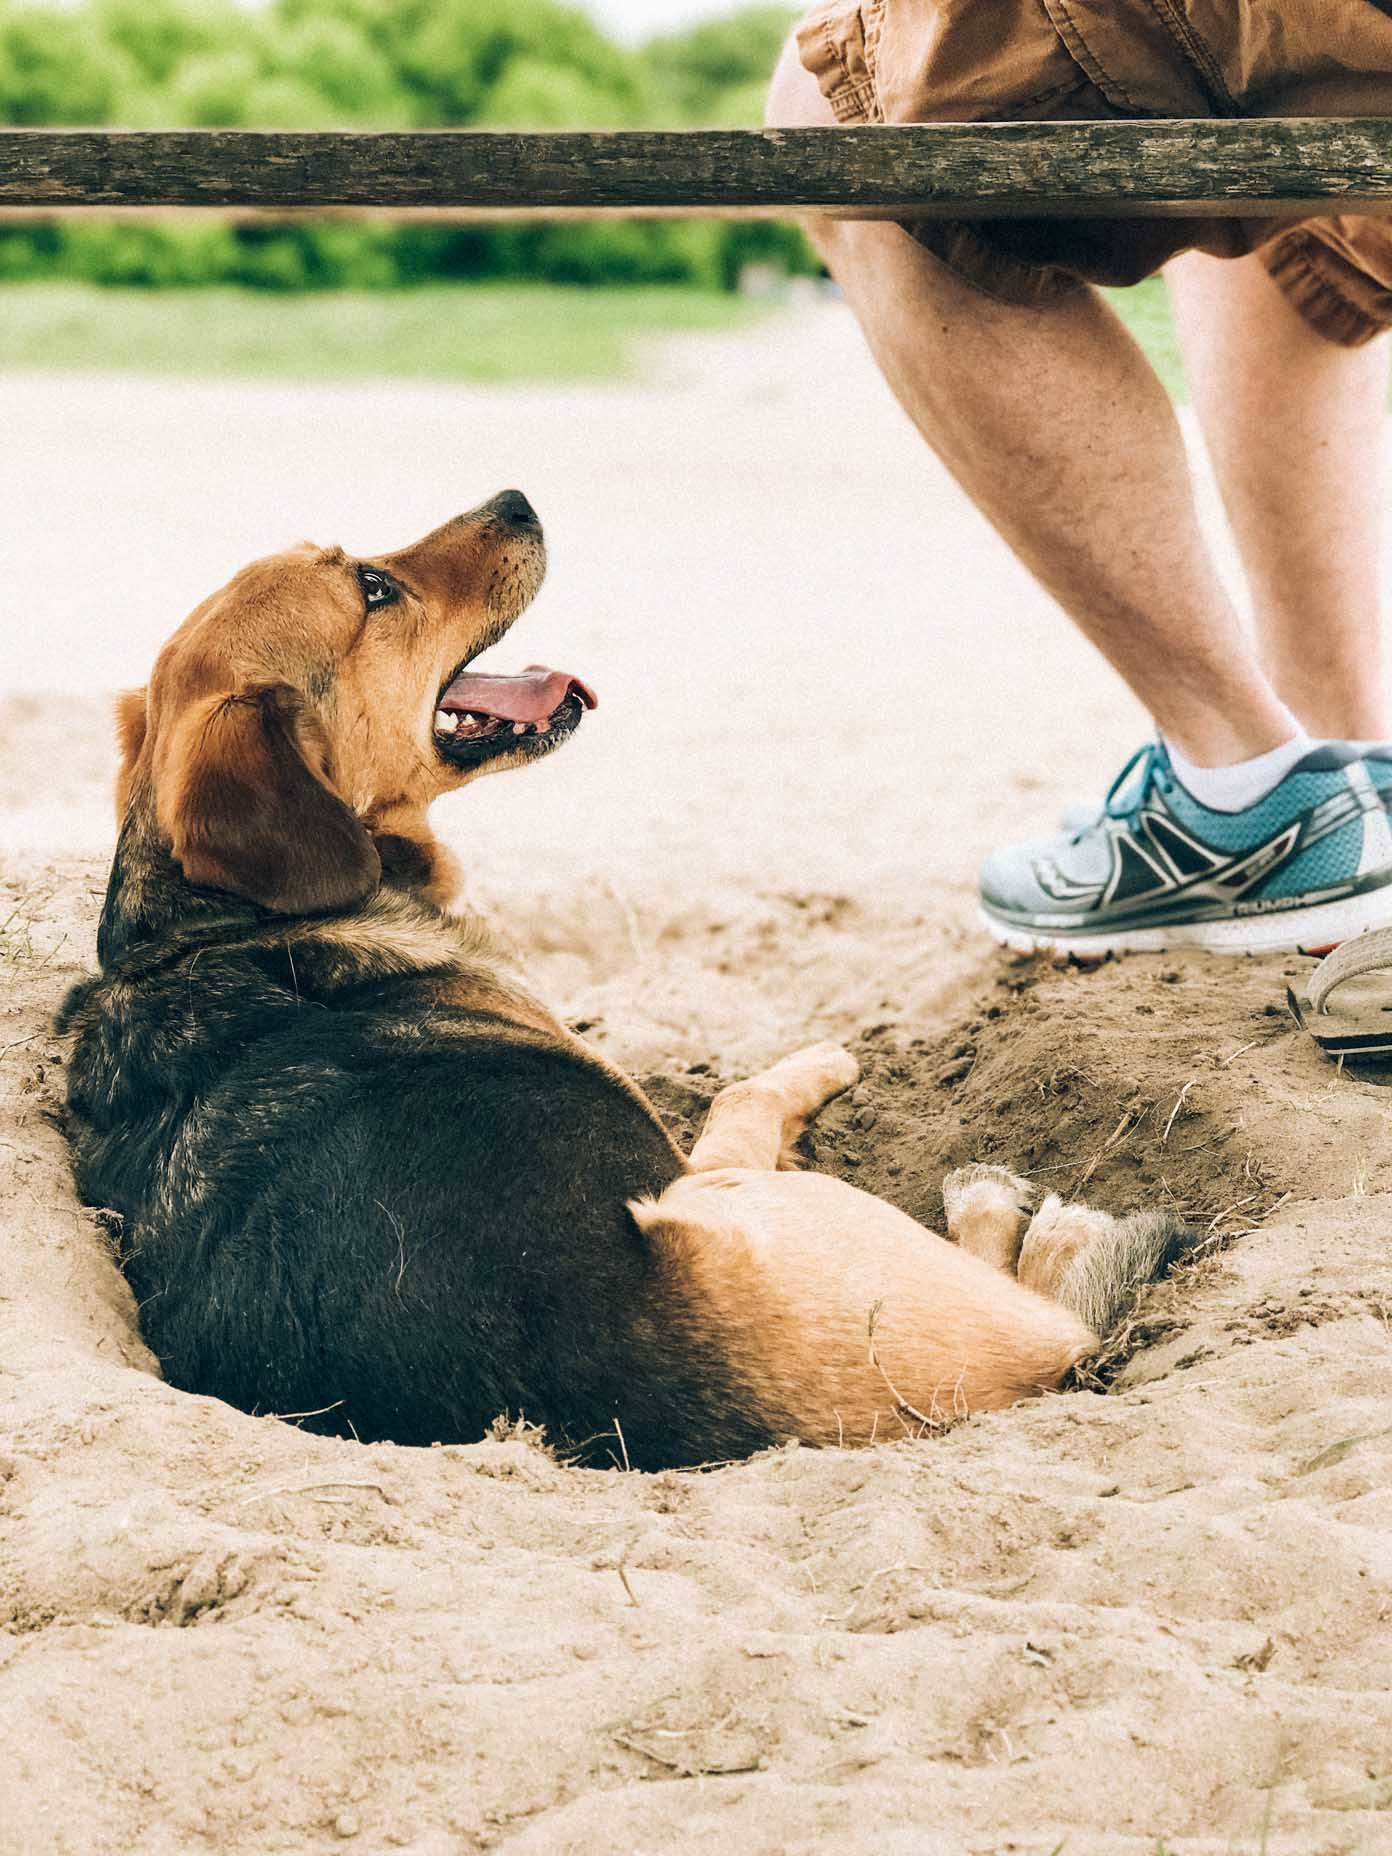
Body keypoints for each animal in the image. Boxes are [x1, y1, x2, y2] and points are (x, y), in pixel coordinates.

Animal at [57, 493, 1202, 1462]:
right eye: (373, 590)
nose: (519, 499)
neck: (211, 925)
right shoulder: (690, 1153)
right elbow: (747, 1090)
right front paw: (823, 1059)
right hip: (748, 1201)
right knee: (1038, 1299)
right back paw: (1021, 1217)